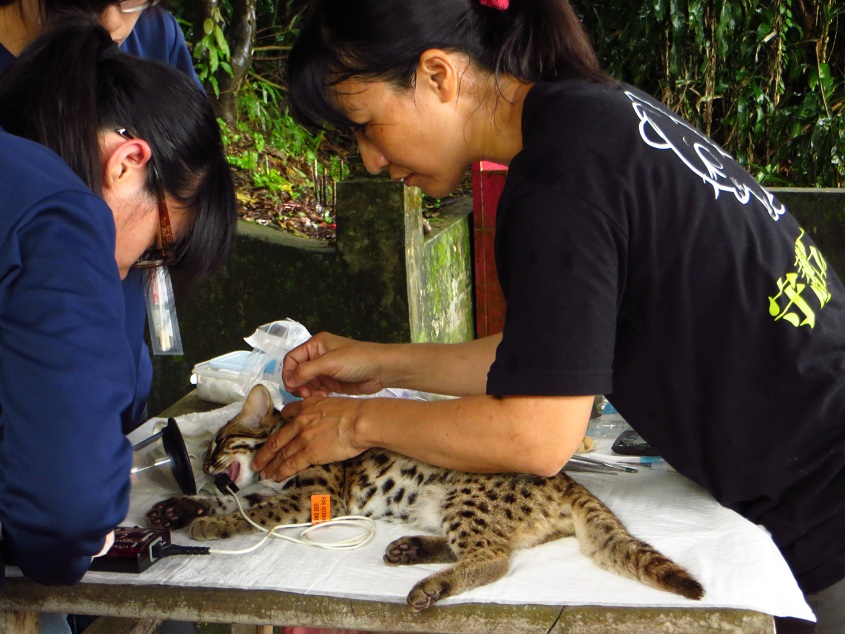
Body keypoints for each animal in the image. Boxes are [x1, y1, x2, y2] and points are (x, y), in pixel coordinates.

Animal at [147, 380, 704, 608]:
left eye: (219, 443)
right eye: (204, 453)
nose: (204, 467)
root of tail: (569, 480)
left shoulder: (310, 497)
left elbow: (251, 513)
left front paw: (209, 523)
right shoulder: (269, 493)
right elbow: (234, 502)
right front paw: (181, 506)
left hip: (466, 495)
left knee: (493, 559)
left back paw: (430, 585)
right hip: (450, 507)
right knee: (486, 548)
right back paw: (412, 550)